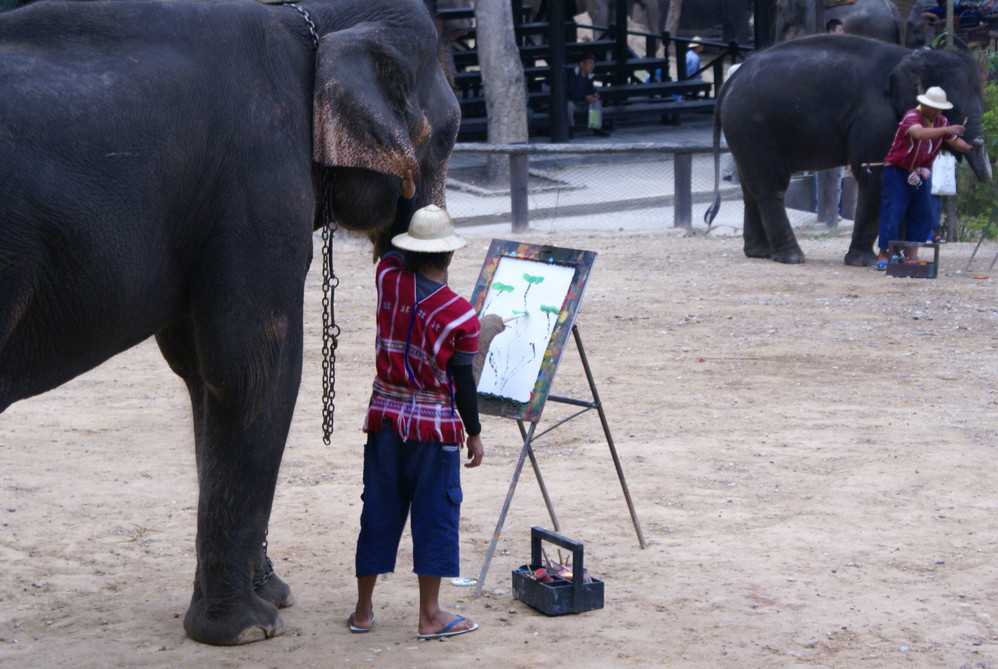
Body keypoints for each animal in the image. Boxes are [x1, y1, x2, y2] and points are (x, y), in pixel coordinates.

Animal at [0, 0, 458, 646]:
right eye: (450, 134)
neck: (301, 21)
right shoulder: (256, 180)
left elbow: (202, 380)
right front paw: (246, 630)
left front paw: (273, 596)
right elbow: (253, 373)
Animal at [706, 34, 992, 265]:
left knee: (750, 185)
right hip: (753, 124)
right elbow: (874, 173)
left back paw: (759, 253)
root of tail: (730, 81)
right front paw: (865, 262)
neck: (913, 55)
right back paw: (791, 257)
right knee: (770, 185)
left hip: (743, 130)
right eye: (954, 110)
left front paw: (901, 256)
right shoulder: (876, 115)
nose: (972, 140)